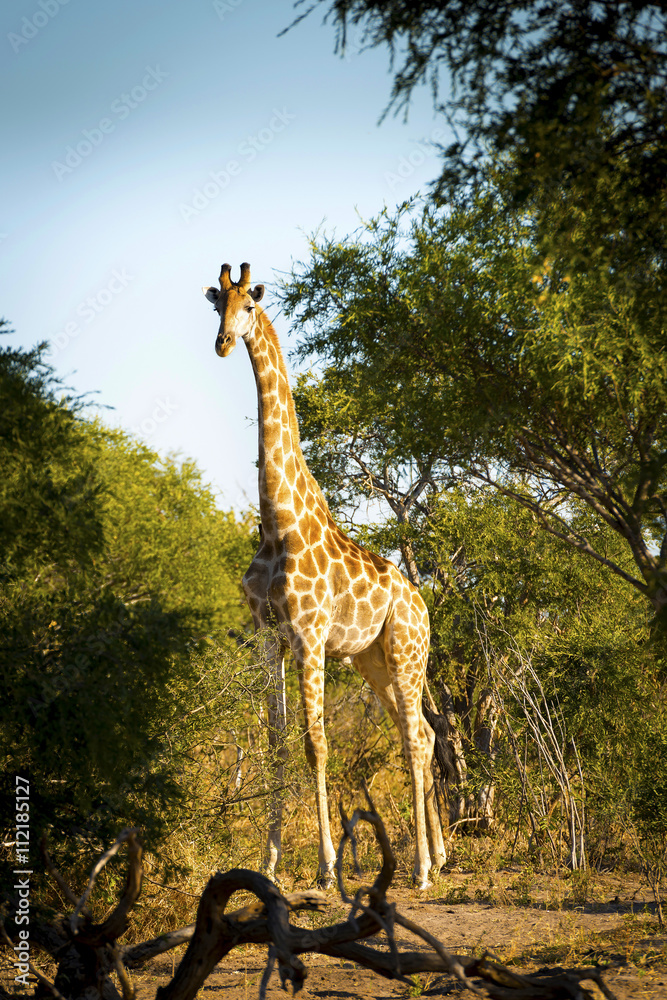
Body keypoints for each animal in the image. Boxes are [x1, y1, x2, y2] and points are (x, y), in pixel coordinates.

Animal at [203, 262, 446, 888]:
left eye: (247, 307)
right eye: (216, 306)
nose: (222, 344)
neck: (278, 521)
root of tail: (423, 606)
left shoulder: (309, 638)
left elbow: (317, 745)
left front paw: (328, 868)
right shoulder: (269, 637)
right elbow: (278, 743)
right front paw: (268, 863)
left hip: (406, 654)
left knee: (415, 739)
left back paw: (420, 870)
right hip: (372, 661)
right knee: (426, 733)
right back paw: (439, 856)